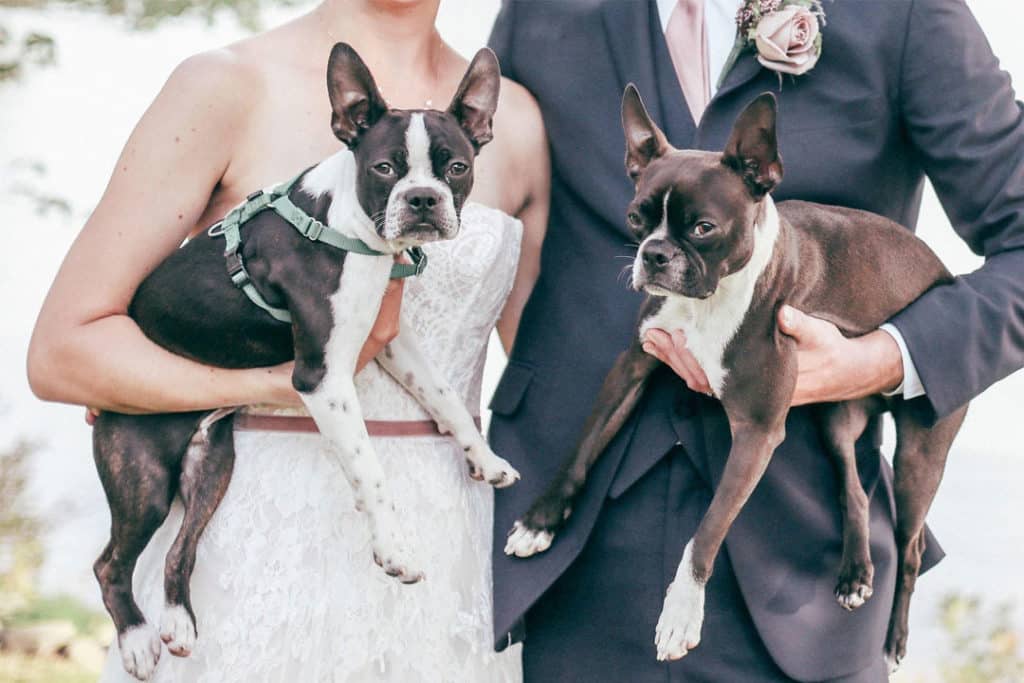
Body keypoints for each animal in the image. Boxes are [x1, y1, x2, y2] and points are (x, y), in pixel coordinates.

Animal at [92, 45, 516, 679]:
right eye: (384, 169)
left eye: (457, 168)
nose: (422, 199)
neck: (347, 229)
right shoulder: (324, 379)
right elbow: (370, 468)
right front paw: (394, 550)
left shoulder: (388, 339)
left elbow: (443, 396)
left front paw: (483, 458)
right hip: (141, 475)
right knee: (112, 562)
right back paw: (139, 640)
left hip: (213, 465)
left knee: (179, 550)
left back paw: (179, 624)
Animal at [503, 88, 966, 671]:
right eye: (636, 218)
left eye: (703, 228)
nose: (654, 254)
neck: (711, 300)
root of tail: (944, 269)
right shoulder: (631, 366)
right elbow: (583, 447)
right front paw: (540, 520)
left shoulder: (757, 431)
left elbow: (708, 528)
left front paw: (681, 613)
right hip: (835, 422)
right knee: (855, 492)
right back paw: (855, 574)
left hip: (919, 457)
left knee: (910, 546)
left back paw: (896, 636)